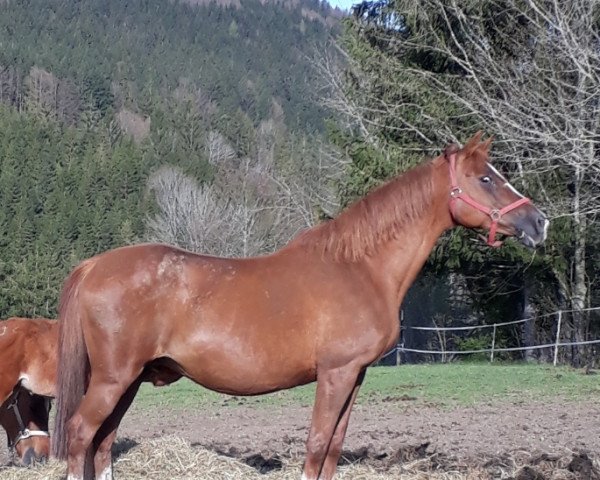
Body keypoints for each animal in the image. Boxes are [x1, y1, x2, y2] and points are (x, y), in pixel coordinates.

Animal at [51, 133, 548, 480]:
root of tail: (94, 265)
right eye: (486, 178)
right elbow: (316, 445)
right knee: (81, 435)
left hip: (129, 381)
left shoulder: (354, 376)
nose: (539, 222)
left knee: (103, 443)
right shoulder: (335, 373)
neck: (359, 267)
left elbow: (333, 449)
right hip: (114, 379)